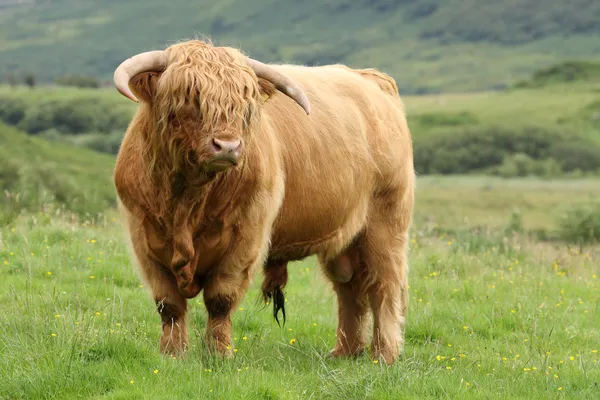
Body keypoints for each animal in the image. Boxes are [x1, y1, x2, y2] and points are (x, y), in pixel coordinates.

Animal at [111, 39, 412, 364]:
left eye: (244, 104)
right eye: (189, 98)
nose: (228, 146)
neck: (187, 202)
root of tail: (371, 79)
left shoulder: (246, 236)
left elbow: (220, 298)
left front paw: (218, 355)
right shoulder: (143, 236)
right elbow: (169, 304)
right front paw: (172, 355)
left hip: (386, 223)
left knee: (384, 286)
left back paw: (384, 355)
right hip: (345, 236)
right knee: (350, 288)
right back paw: (345, 352)